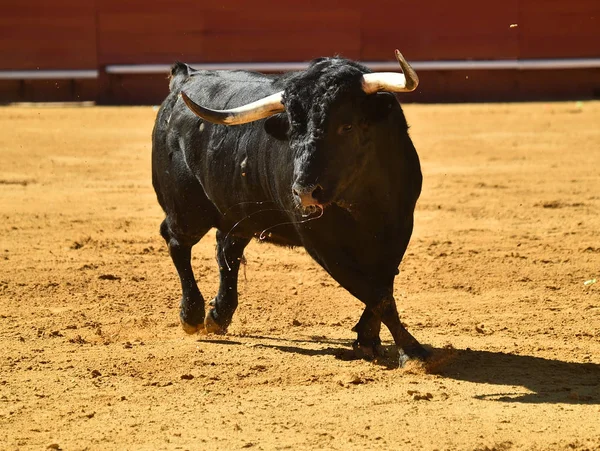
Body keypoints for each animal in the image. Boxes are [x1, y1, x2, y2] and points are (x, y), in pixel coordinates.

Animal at [152, 49, 428, 362]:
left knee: (227, 249)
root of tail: (184, 78)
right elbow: (373, 291)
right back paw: (192, 315)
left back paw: (218, 316)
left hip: (237, 213)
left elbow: (383, 284)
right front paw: (411, 350)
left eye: (347, 126)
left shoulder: (399, 227)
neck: (362, 198)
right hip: (187, 210)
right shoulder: (321, 242)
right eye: (294, 130)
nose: (305, 192)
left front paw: (367, 339)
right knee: (177, 242)